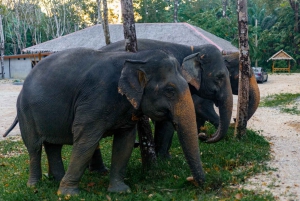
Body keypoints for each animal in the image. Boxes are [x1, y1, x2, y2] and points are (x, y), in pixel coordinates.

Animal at [4, 48, 206, 195]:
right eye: (170, 91)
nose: (191, 181)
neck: (136, 58)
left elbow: (124, 142)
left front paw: (120, 191)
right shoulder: (94, 99)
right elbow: (86, 140)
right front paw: (68, 194)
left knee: (53, 146)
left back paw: (57, 179)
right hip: (26, 112)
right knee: (34, 147)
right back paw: (34, 186)